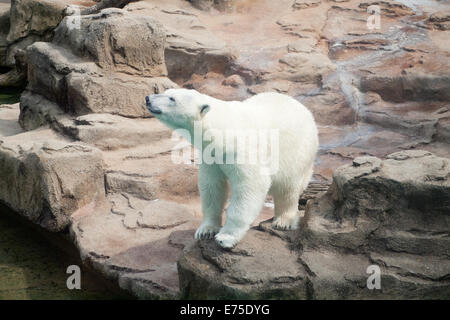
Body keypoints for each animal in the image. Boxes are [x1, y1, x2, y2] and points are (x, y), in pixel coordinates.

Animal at [146, 89, 318, 249]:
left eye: (172, 98)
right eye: (166, 92)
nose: (148, 99)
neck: (222, 130)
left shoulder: (243, 150)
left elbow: (250, 186)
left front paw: (225, 237)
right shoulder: (211, 155)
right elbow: (212, 186)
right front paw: (206, 230)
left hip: (296, 150)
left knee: (287, 186)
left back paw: (283, 221)